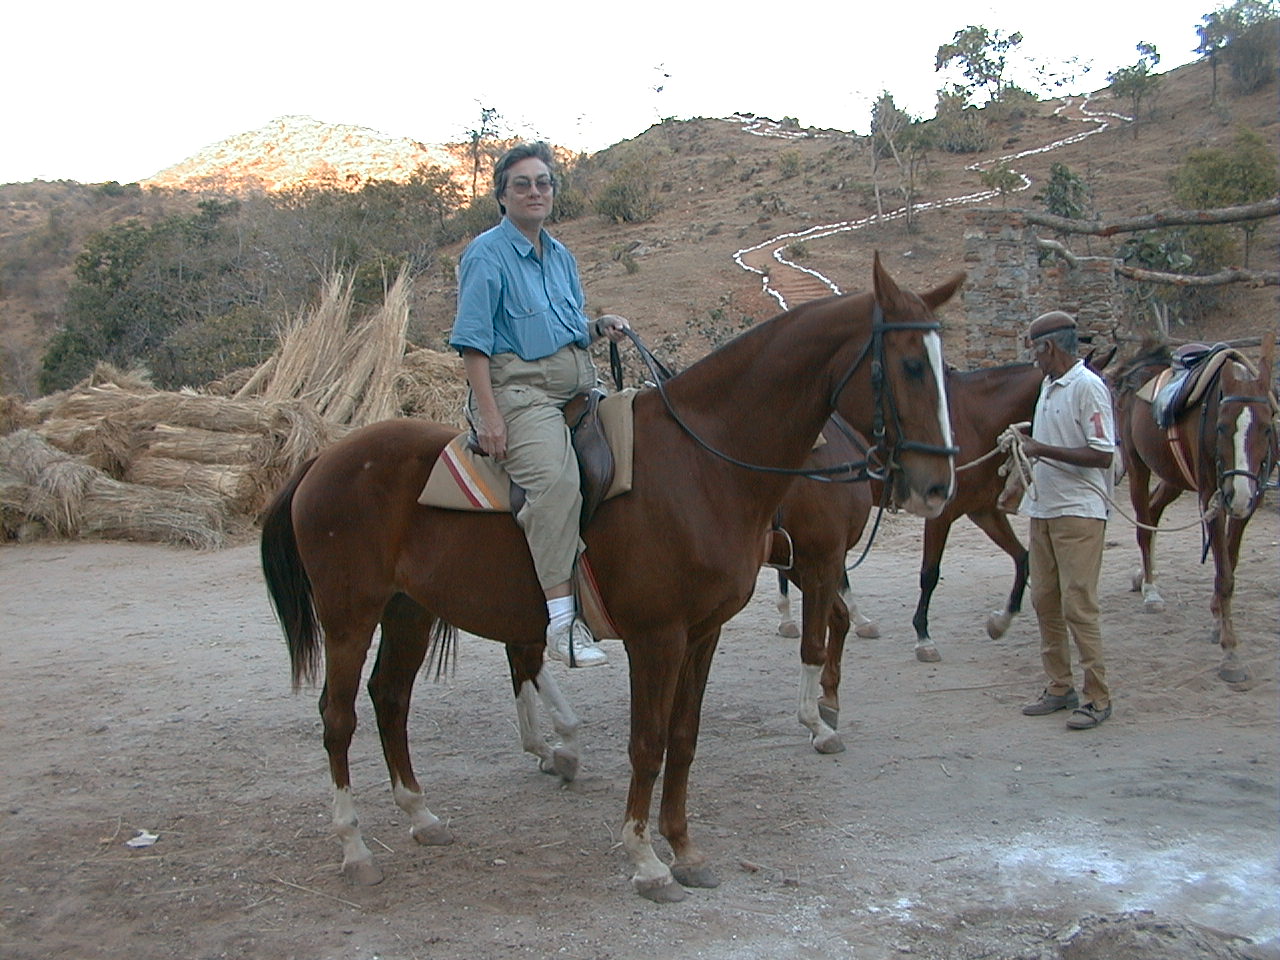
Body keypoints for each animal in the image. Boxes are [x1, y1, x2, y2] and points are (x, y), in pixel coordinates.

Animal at [262, 256, 962, 901]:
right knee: (339, 716)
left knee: (391, 698)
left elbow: (683, 738)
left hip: (409, 609)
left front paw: (685, 848)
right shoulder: (664, 634)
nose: (936, 486)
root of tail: (321, 460)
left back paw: (422, 813)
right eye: (911, 365)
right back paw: (355, 846)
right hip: (350, 616)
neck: (702, 462)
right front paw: (646, 859)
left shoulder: (704, 632)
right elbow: (648, 742)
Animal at [1116, 337, 1274, 686]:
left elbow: (1229, 563)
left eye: (1268, 428)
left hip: (1173, 476)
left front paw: (1217, 618)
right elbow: (1224, 573)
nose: (1239, 493)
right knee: (1144, 523)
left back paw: (1142, 576)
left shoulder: (1248, 502)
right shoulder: (1210, 497)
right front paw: (1230, 653)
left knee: (1153, 512)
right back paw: (1150, 589)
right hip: (1137, 466)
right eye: (1221, 426)